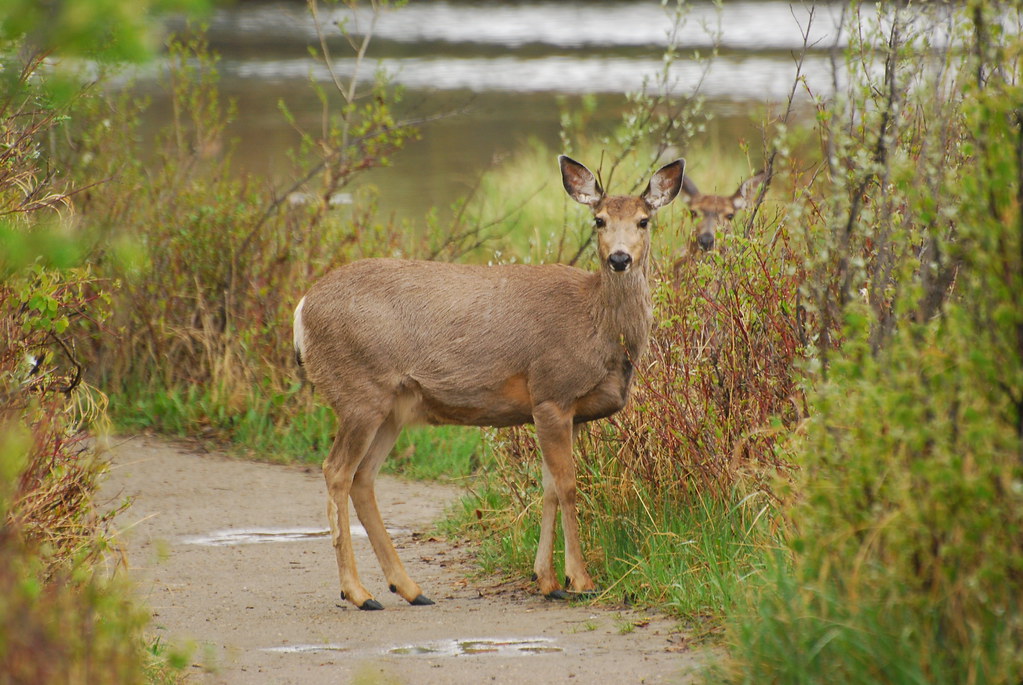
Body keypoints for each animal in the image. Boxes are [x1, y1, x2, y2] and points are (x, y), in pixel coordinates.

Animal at [292, 155, 685, 610]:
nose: (619, 259)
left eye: (644, 220)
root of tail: (302, 309)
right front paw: (580, 580)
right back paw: (358, 592)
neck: (597, 326)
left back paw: (409, 589)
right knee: (336, 470)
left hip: (393, 408)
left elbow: (549, 488)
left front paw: (547, 580)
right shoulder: (551, 392)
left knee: (363, 478)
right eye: (599, 220)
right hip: (359, 391)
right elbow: (569, 486)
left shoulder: (565, 411)